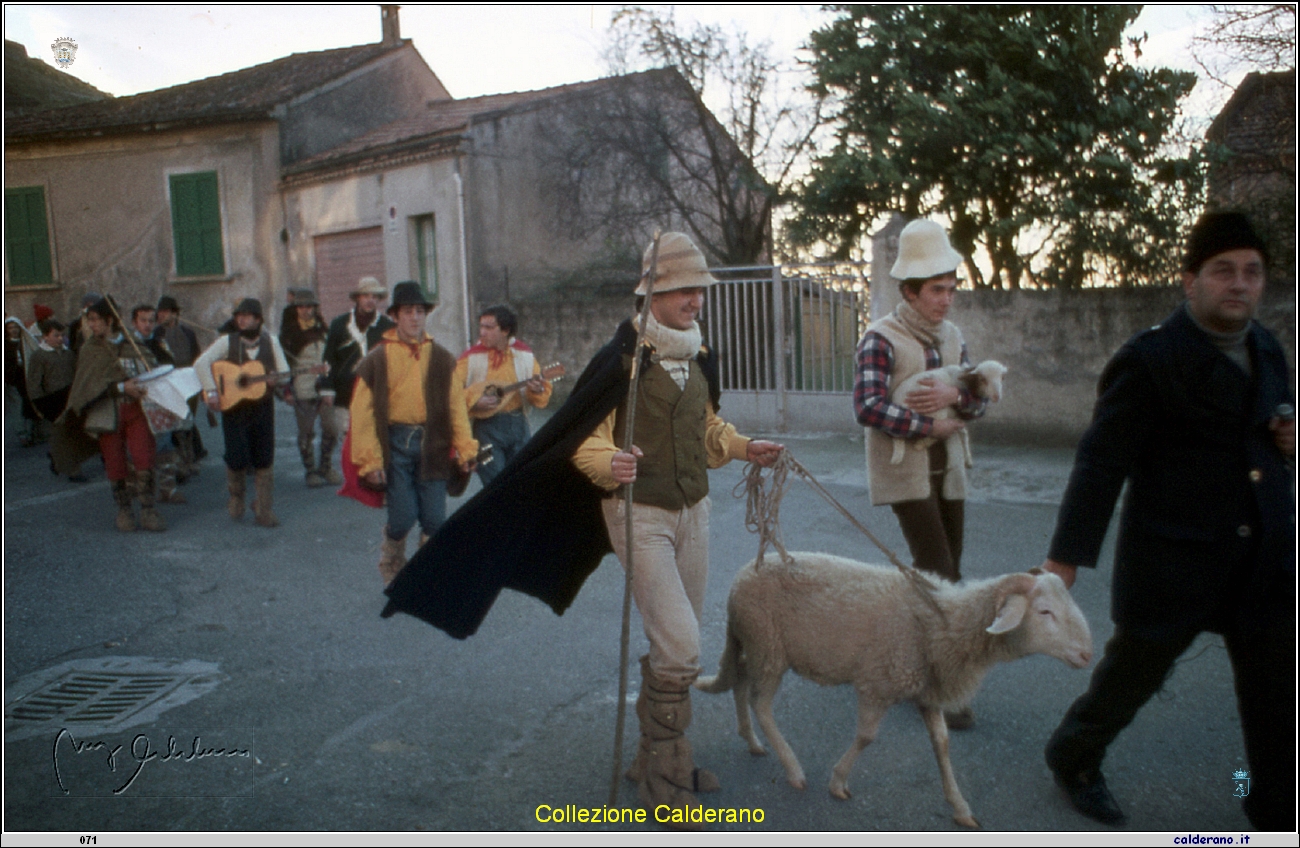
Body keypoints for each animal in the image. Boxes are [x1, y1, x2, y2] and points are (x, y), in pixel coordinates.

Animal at [696, 556, 1092, 827]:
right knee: (760, 702)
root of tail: (742, 576)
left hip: (757, 645)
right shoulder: (878, 682)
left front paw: (961, 807)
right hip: (769, 646)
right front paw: (838, 782)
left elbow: (942, 745)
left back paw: (752, 740)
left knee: (740, 680)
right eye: (1044, 612)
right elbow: (867, 737)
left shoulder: (928, 692)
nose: (1088, 655)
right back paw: (793, 768)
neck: (942, 620)